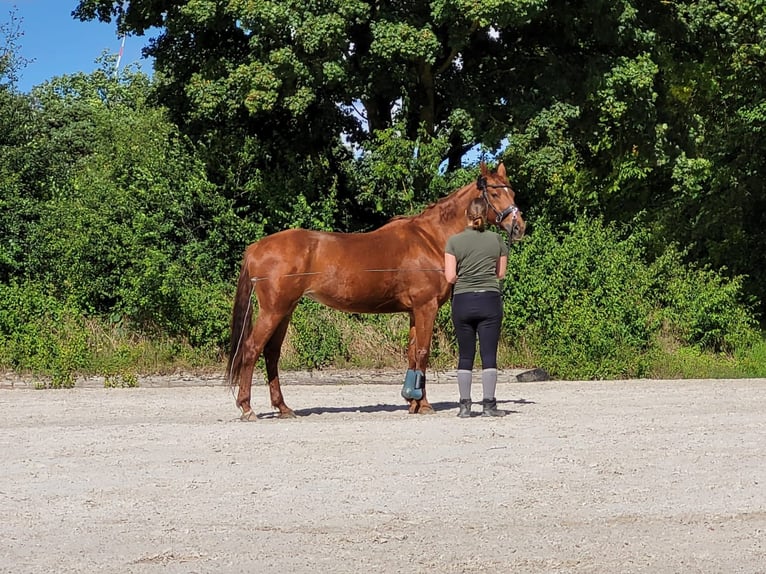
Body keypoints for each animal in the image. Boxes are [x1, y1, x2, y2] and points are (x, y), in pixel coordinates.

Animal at [228, 160, 528, 420]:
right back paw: (246, 408)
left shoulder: (413, 311)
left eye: (511, 190)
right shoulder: (426, 306)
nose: (518, 226)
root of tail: (256, 247)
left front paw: (413, 401)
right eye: (494, 192)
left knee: (271, 354)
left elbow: (412, 353)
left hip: (285, 310)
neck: (430, 239)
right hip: (274, 310)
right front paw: (422, 404)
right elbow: (423, 352)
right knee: (252, 349)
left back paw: (283, 407)